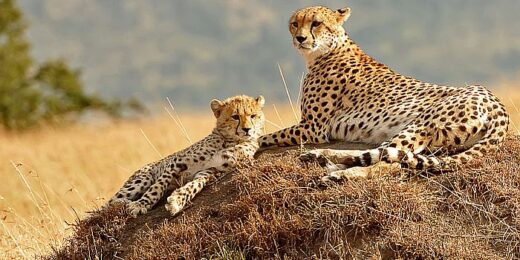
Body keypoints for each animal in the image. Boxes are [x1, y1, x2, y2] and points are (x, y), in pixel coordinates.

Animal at [108, 95, 264, 215]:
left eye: (253, 116)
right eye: (235, 117)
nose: (247, 129)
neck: (230, 141)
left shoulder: (210, 171)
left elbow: (194, 185)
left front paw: (177, 200)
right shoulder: (177, 162)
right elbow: (157, 186)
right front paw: (141, 204)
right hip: (143, 178)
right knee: (109, 203)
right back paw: (124, 202)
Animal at [258, 5, 510, 181]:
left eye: (316, 23)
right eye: (294, 23)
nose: (300, 38)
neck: (328, 50)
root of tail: (497, 103)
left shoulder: (312, 128)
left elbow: (264, 137)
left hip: (420, 124)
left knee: (389, 160)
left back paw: (336, 169)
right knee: (388, 155)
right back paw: (324, 160)